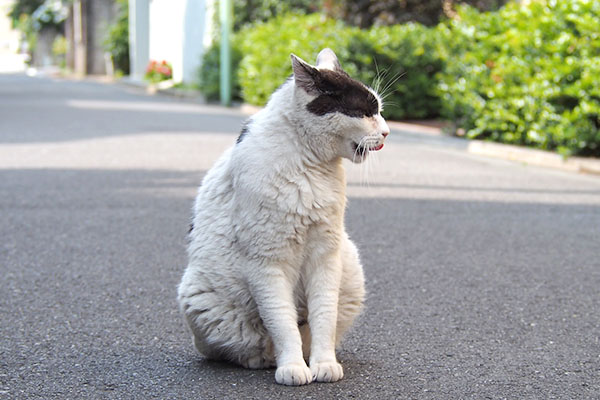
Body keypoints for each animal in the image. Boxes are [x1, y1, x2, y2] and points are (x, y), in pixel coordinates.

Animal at [177, 48, 394, 386]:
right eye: (365, 112)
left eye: (379, 111)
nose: (386, 131)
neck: (309, 163)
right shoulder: (268, 261)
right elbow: (281, 320)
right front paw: (291, 367)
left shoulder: (325, 254)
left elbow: (323, 316)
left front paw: (323, 364)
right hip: (199, 295)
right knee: (235, 345)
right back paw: (261, 359)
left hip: (351, 269)